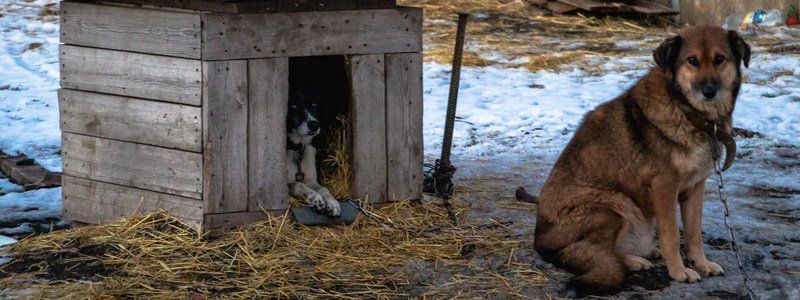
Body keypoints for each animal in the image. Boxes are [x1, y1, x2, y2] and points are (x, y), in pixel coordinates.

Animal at [532, 24, 752, 296]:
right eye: (692, 61)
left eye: (719, 58)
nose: (709, 92)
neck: (686, 111)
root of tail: (540, 241)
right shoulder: (664, 188)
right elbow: (671, 235)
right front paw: (679, 271)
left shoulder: (694, 188)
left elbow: (693, 234)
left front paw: (700, 264)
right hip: (614, 207)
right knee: (601, 254)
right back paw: (634, 260)